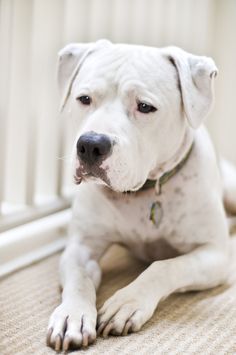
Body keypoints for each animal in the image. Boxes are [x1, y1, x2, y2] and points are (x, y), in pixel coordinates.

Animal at [46, 40, 236, 352]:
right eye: (84, 99)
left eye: (145, 107)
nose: (91, 145)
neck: (144, 191)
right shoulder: (80, 248)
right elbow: (79, 280)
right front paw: (72, 315)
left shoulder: (215, 255)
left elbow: (165, 267)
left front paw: (127, 301)